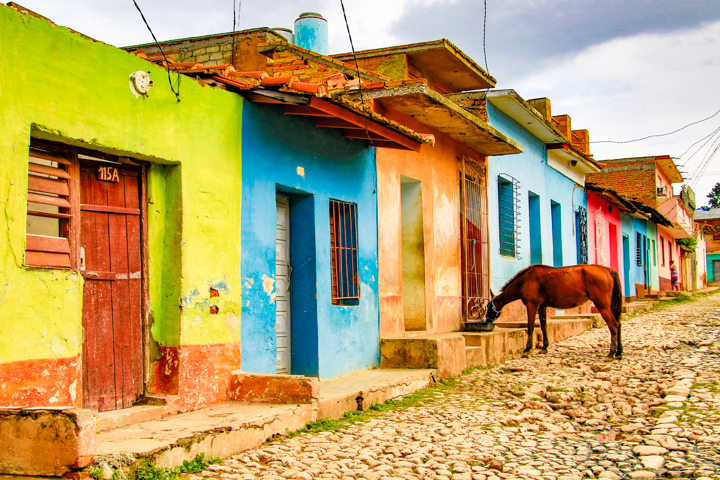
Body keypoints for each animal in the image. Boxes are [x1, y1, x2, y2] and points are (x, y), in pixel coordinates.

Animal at [484, 264, 624, 358]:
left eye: (488, 307)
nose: (486, 321)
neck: (525, 280)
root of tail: (609, 270)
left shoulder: (532, 305)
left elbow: (530, 326)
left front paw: (527, 349)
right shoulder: (542, 306)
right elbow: (544, 326)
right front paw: (544, 347)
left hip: (602, 305)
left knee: (613, 325)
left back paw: (611, 353)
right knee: (619, 324)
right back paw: (619, 352)